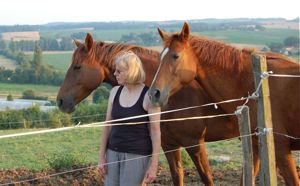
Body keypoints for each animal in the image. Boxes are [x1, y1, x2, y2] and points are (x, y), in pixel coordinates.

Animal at [56, 32, 239, 185]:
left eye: (77, 66)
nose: (60, 101)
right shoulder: (169, 144)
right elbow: (177, 175)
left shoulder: (194, 144)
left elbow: (207, 177)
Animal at [149, 21, 300, 185]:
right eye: (160, 57)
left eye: (175, 55)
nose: (154, 94)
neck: (253, 83)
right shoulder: (255, 146)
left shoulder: (281, 149)